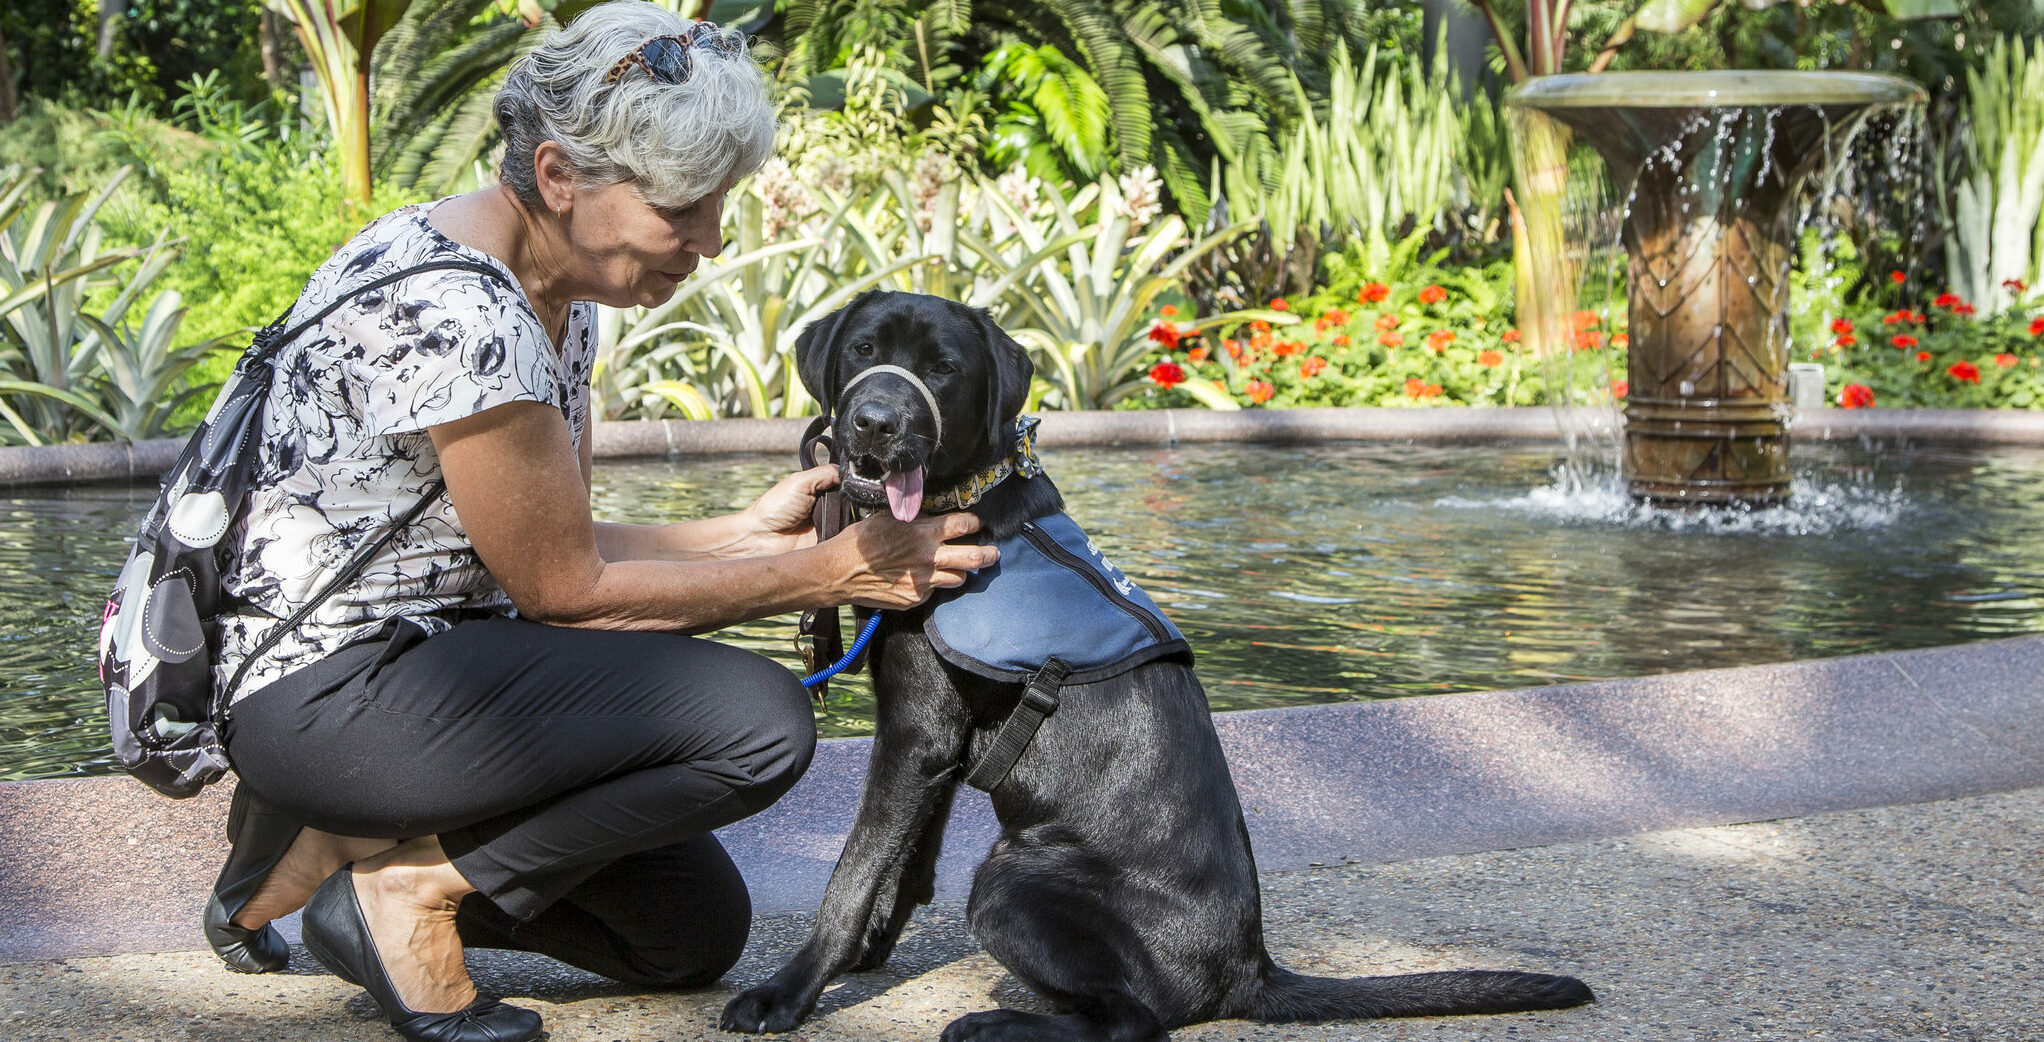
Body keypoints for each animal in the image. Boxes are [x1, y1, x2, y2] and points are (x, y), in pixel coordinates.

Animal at [719, 290, 1594, 1042]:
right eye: (863, 351)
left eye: (942, 369)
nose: (875, 424)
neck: (960, 501)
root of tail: (1251, 968)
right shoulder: (934, 739)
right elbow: (904, 864)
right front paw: (867, 954)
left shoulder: (915, 734)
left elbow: (853, 871)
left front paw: (790, 992)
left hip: (1010, 879)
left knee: (1135, 1019)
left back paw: (999, 1023)